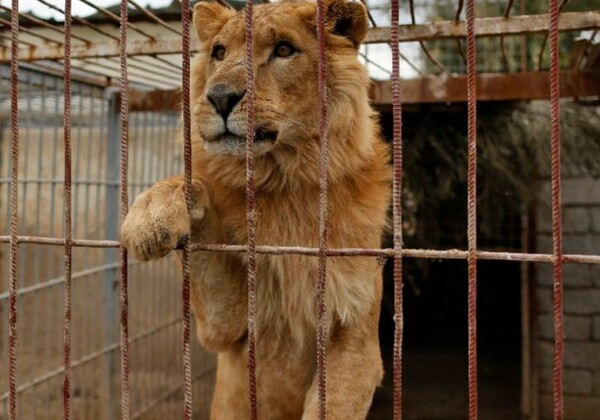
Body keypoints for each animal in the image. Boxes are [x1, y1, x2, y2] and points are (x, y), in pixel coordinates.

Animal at [121, 0, 392, 416]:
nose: (219, 97)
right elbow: (194, 185)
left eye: (283, 49)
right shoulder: (226, 327)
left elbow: (332, 405)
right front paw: (151, 213)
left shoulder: (359, 345)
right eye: (219, 52)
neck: (282, 182)